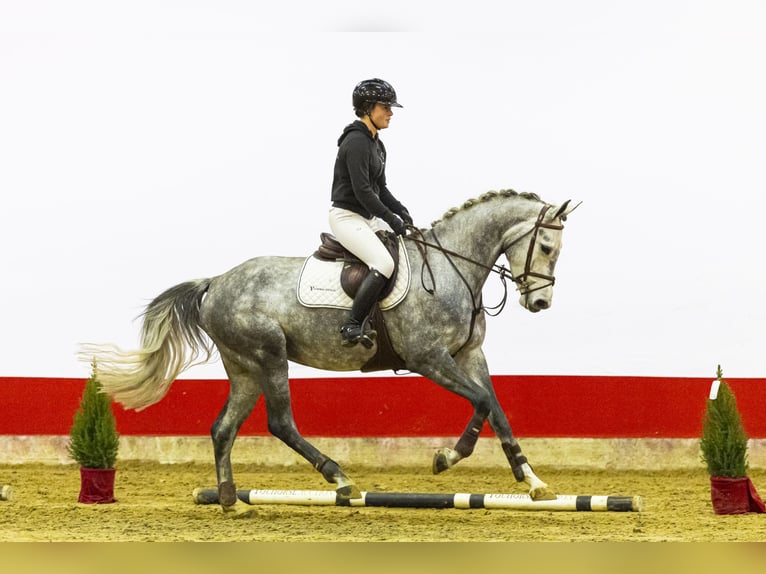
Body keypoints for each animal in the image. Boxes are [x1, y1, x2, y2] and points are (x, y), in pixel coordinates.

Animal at [81, 189, 577, 517]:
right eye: (546, 246)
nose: (539, 302)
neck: (451, 266)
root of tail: (215, 282)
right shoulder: (429, 358)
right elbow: (480, 402)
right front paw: (445, 459)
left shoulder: (470, 354)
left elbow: (495, 407)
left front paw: (534, 483)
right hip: (269, 356)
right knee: (280, 423)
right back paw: (339, 479)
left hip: (244, 368)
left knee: (223, 429)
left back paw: (230, 502)